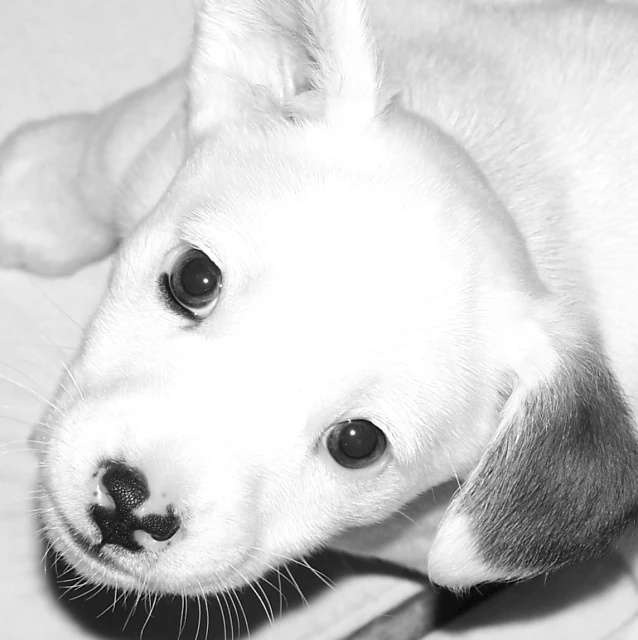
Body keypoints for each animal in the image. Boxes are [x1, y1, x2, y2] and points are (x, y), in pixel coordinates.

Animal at [1, 1, 638, 600]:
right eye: (194, 278)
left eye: (356, 444)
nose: (128, 500)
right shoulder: (152, 135)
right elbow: (93, 162)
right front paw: (26, 193)